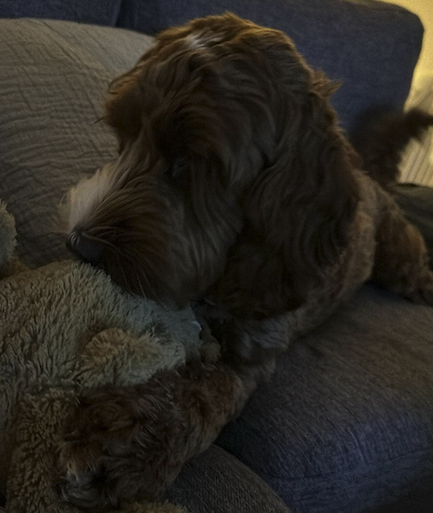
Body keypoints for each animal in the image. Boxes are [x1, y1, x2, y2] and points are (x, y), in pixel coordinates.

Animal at [60, 12, 432, 508]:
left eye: (188, 163)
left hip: (397, 250)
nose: (81, 244)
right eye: (123, 137)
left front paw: (125, 437)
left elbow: (202, 392)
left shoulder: (252, 352)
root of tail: (370, 178)